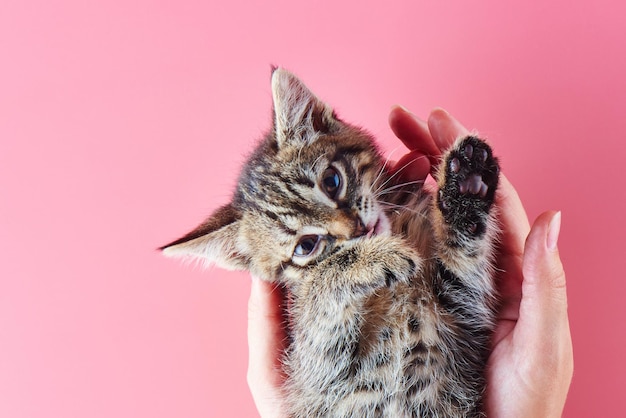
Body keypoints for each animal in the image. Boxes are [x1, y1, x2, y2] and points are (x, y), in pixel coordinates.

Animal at [161, 69, 498, 418]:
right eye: (306, 246)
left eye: (332, 181)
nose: (358, 228)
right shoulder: (319, 368)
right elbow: (319, 289)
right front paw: (369, 260)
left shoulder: (461, 314)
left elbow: (464, 260)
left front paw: (466, 187)